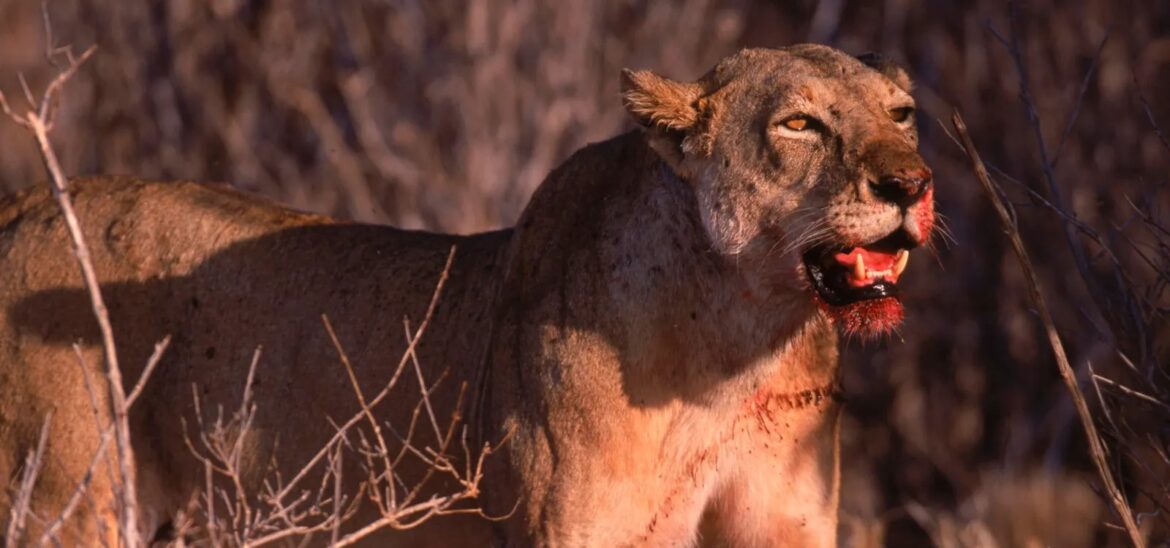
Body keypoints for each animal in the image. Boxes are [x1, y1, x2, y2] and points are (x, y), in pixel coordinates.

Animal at [0, 44, 933, 546]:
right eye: (799, 124)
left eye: (902, 113)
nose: (912, 184)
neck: (739, 348)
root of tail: (25, 203)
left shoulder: (786, 523)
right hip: (66, 501)